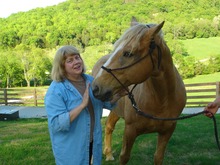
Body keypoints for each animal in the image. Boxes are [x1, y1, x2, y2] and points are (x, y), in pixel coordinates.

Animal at [91, 16, 186, 164]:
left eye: (128, 53)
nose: (95, 87)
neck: (162, 100)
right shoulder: (130, 130)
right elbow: (124, 157)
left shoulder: (167, 131)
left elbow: (158, 157)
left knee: (109, 126)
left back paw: (108, 154)